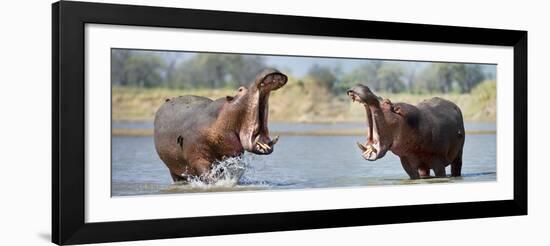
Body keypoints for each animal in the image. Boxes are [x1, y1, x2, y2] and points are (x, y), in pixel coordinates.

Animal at [152, 68, 286, 182]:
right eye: (240, 89)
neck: (219, 118)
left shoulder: (230, 157)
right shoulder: (198, 158)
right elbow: (207, 174)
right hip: (173, 169)